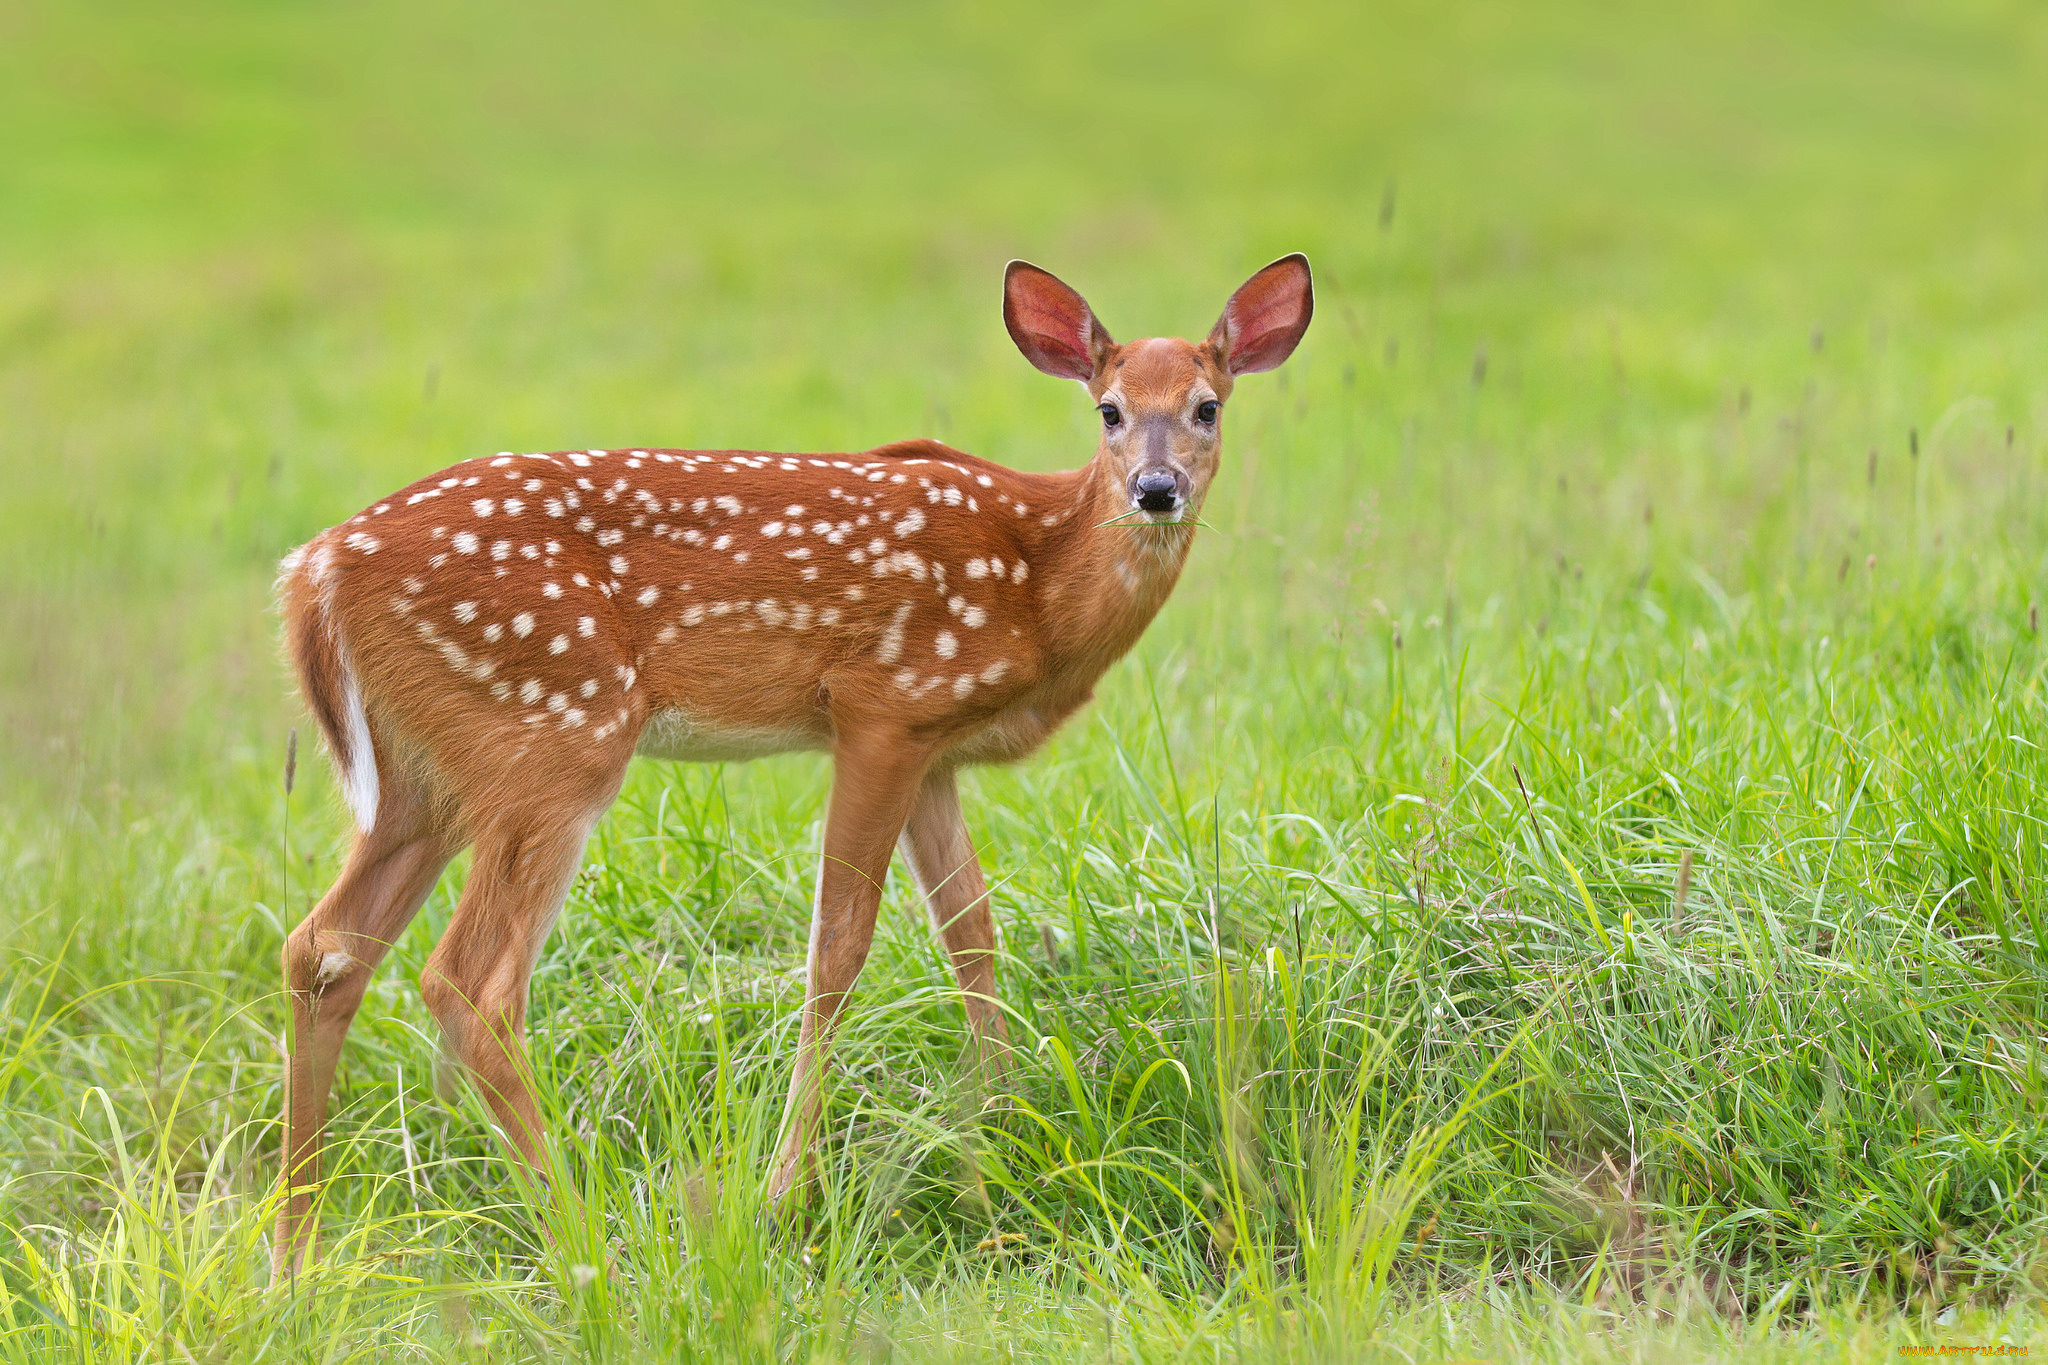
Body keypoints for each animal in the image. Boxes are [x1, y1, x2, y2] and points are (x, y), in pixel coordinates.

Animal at [272, 250, 1310, 1277]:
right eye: (1109, 409)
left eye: (1207, 405)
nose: (1156, 489)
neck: (1039, 585)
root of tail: (313, 572)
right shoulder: (882, 704)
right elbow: (838, 949)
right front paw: (783, 1197)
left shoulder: (935, 748)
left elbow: (973, 933)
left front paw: (1004, 1139)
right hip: (555, 734)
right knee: (468, 981)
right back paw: (583, 1235)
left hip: (426, 779)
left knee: (324, 948)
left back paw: (295, 1258)